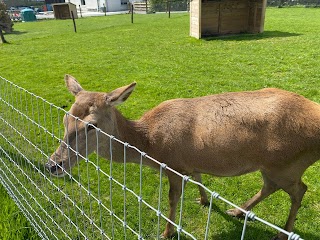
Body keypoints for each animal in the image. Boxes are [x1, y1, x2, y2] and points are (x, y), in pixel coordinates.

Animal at [45, 74, 320, 239]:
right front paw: (204, 200)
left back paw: (282, 232)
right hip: (274, 166)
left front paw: (167, 231)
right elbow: (198, 178)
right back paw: (237, 212)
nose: (53, 165)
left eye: (91, 126)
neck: (150, 146)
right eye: (65, 117)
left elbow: (173, 198)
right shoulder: (190, 162)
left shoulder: (173, 165)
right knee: (270, 187)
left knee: (300, 190)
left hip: (286, 163)